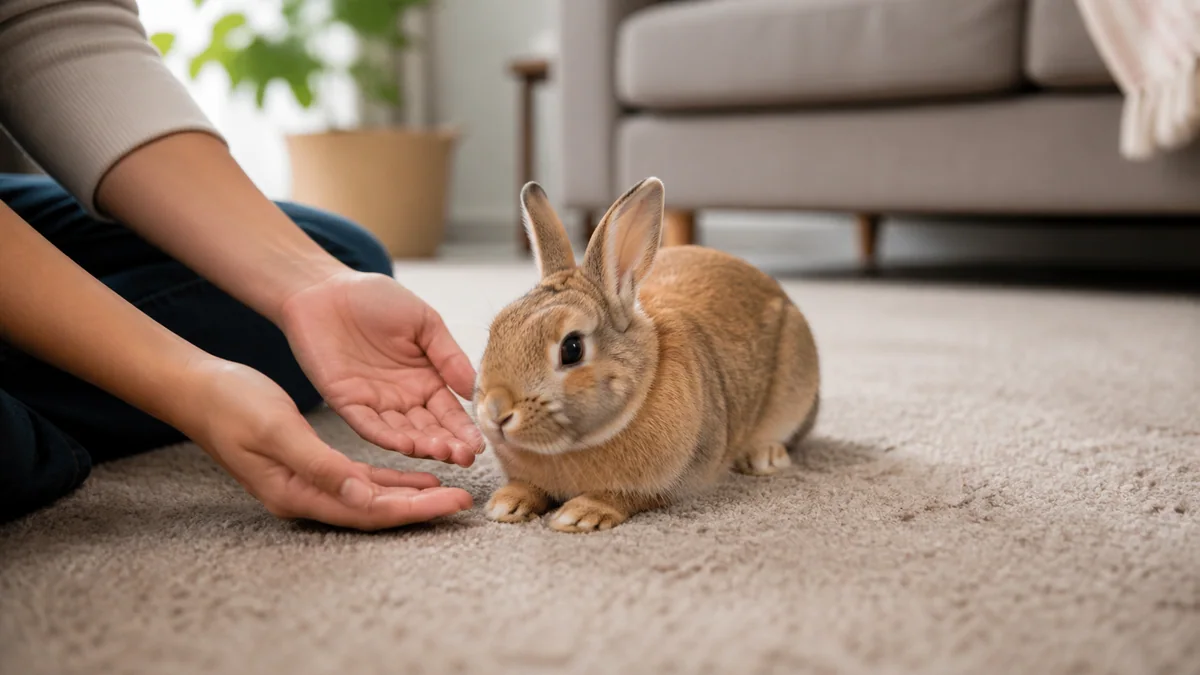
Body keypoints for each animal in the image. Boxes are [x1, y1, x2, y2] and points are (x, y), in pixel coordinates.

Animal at [473, 177, 820, 533]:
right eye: (496, 331)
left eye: (572, 348)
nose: (496, 411)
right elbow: (527, 486)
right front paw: (506, 503)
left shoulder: (666, 485)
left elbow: (623, 497)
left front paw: (581, 514)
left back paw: (765, 456)